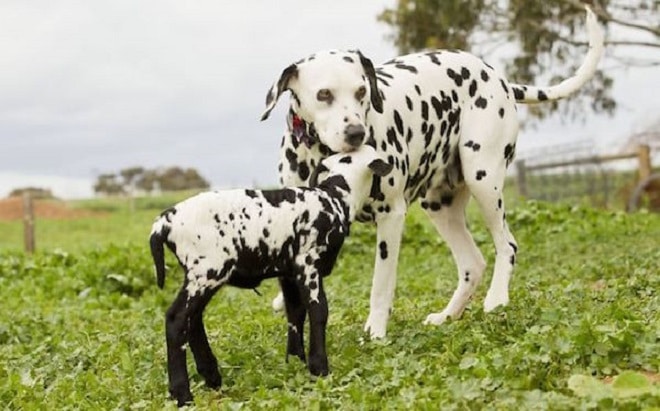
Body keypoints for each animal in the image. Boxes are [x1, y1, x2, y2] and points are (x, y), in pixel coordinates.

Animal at [260, 7, 604, 342]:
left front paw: (375, 330)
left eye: (361, 91)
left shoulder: (391, 217)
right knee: (472, 264)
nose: (356, 132)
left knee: (507, 245)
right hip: (440, 206)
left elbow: (380, 285)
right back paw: (447, 316)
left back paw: (496, 299)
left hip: (483, 179)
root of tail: (498, 77)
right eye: (324, 95)